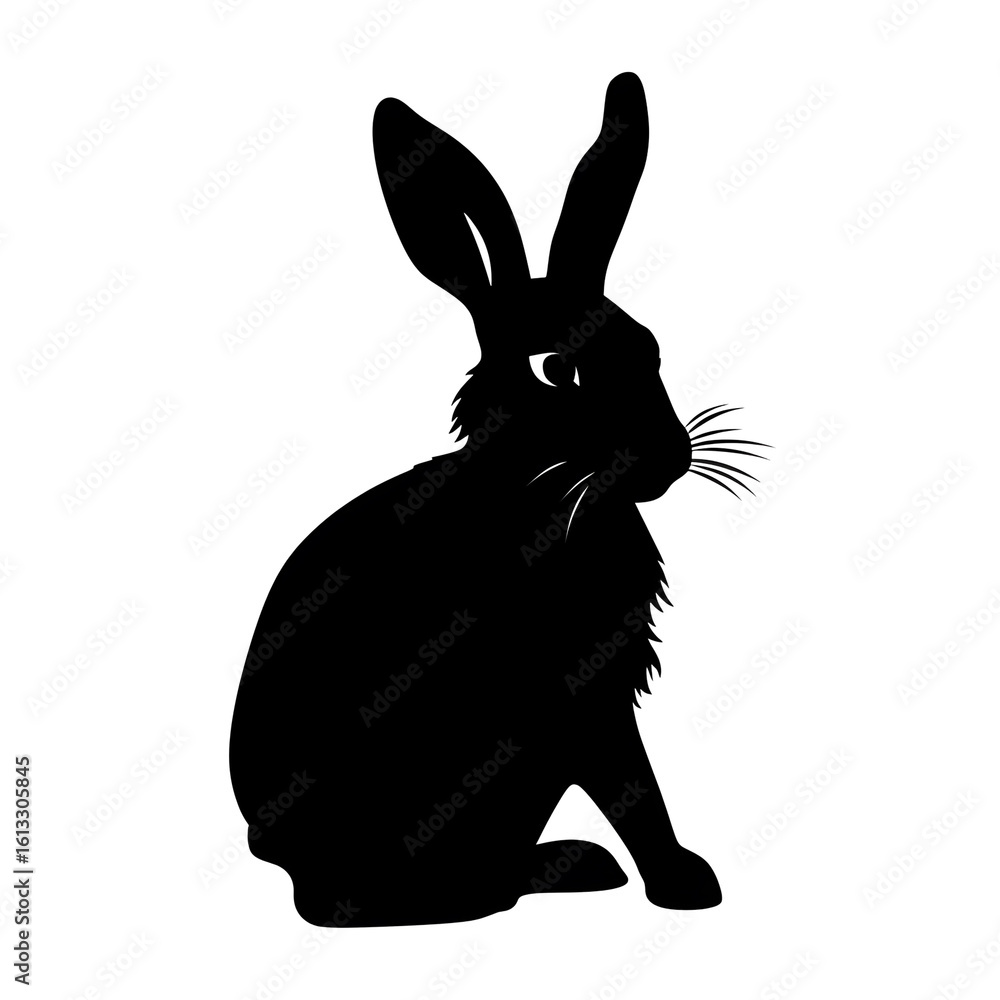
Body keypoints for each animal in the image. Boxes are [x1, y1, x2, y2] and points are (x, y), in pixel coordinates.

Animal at [229, 72, 767, 927]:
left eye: (650, 347)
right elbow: (634, 787)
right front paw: (685, 885)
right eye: (556, 368)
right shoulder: (578, 702)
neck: (549, 496)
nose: (666, 456)